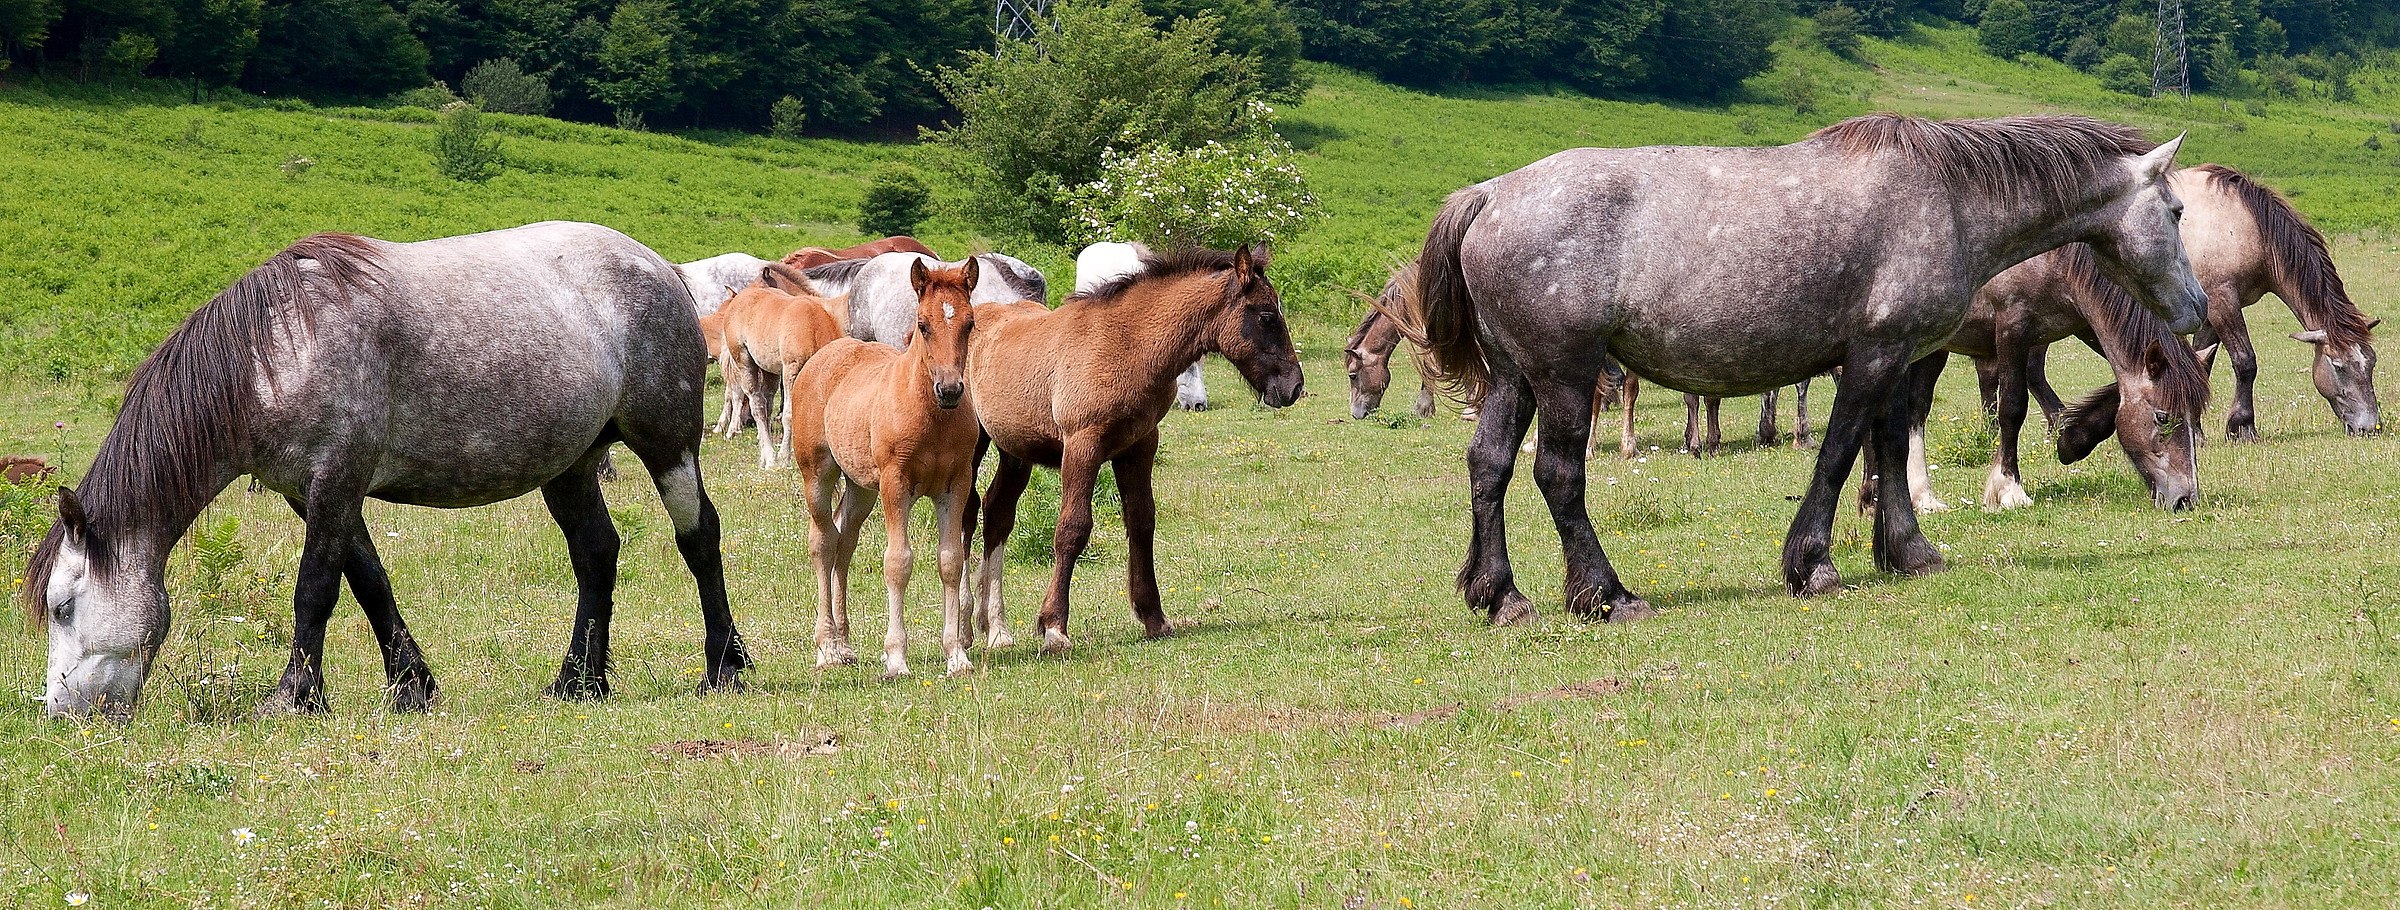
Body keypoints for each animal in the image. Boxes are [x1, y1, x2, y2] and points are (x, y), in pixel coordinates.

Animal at [24, 222, 750, 717]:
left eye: (62, 607)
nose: (63, 715)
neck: (279, 348)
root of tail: (661, 268)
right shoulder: (312, 492)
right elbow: (370, 581)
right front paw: (411, 687)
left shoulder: (336, 479)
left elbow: (316, 589)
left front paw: (295, 698)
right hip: (571, 465)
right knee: (597, 553)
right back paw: (579, 682)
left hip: (667, 444)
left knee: (699, 538)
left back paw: (724, 669)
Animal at [715, 277, 849, 468]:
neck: (813, 327)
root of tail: (737, 298)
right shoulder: (791, 370)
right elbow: (789, 415)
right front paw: (785, 457)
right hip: (744, 362)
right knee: (757, 405)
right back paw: (770, 458)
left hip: (769, 371)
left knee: (766, 407)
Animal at [789, 259, 982, 678]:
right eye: (923, 324)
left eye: (970, 323)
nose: (950, 389)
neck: (931, 416)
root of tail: (828, 351)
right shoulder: (896, 484)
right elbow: (898, 562)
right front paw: (896, 657)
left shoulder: (956, 484)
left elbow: (951, 561)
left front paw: (956, 655)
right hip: (818, 474)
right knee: (822, 543)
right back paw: (827, 647)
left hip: (862, 487)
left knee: (844, 540)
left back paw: (844, 644)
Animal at [1911, 244, 2214, 512]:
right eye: (2162, 418)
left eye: (2195, 416)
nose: (2185, 499)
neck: (2053, 258)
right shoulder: (2012, 326)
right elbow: (2013, 407)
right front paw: (2009, 489)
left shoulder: (2087, 327)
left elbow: (2117, 390)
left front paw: (2071, 442)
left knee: (1917, 410)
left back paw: (1923, 497)